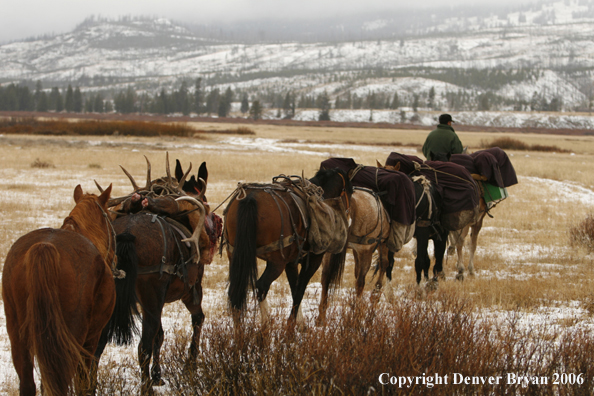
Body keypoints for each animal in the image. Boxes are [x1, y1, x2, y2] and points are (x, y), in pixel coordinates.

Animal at [95, 155, 220, 396]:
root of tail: (127, 234)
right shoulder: (190, 289)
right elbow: (197, 319)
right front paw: (190, 363)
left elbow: (160, 335)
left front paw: (158, 375)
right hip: (153, 295)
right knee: (142, 345)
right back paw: (146, 389)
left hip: (110, 299)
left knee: (97, 345)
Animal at [224, 167, 350, 324]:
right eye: (349, 190)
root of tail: (250, 198)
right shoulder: (313, 261)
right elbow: (300, 290)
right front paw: (291, 324)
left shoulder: (291, 263)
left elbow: (294, 288)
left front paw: (299, 322)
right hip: (277, 262)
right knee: (262, 286)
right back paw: (265, 324)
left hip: (236, 256)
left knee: (235, 290)